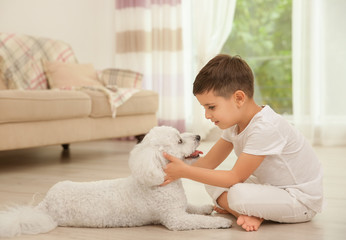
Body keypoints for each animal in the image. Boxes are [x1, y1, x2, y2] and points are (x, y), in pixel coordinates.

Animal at [0, 126, 232, 237]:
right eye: (180, 140)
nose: (199, 136)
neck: (159, 179)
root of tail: (44, 205)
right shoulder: (176, 219)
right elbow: (200, 220)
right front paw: (221, 222)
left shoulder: (180, 207)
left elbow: (193, 207)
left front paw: (205, 207)